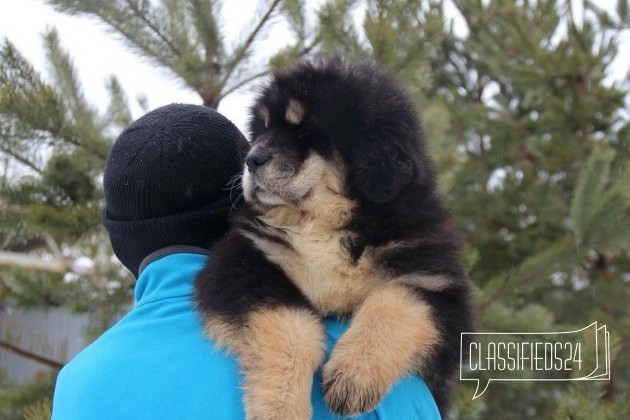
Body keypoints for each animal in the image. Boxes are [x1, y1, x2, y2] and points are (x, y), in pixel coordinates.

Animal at [195, 56, 476, 420]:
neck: (322, 223)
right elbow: (291, 324)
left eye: (305, 131)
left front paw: (352, 376)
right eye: (263, 130)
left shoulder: (436, 282)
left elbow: (395, 304)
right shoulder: (245, 261)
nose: (251, 160)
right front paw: (282, 407)